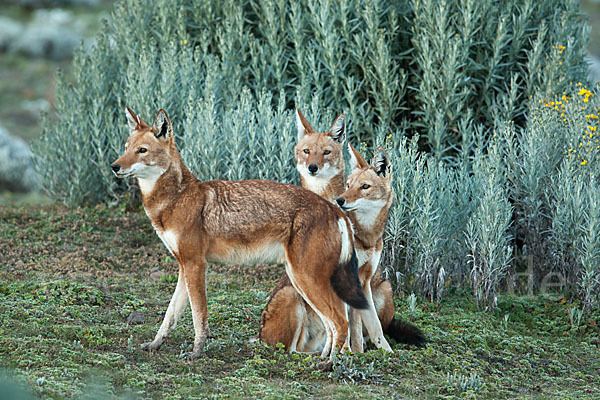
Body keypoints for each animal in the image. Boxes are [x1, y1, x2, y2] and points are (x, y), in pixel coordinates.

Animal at [110, 107, 368, 362]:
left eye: (142, 150)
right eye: (126, 148)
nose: (115, 166)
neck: (177, 198)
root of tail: (336, 209)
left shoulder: (196, 265)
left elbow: (198, 315)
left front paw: (197, 351)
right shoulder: (184, 266)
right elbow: (170, 315)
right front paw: (155, 344)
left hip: (306, 279)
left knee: (341, 322)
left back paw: (329, 365)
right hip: (302, 282)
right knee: (333, 324)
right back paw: (321, 359)